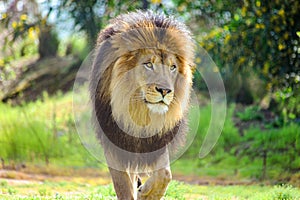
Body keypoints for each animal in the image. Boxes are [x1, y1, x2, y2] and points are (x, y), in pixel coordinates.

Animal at [89, 11, 195, 200]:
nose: (165, 90)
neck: (140, 112)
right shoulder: (114, 140)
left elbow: (164, 175)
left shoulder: (158, 140)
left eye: (173, 67)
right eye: (148, 64)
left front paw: (145, 194)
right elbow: (122, 185)